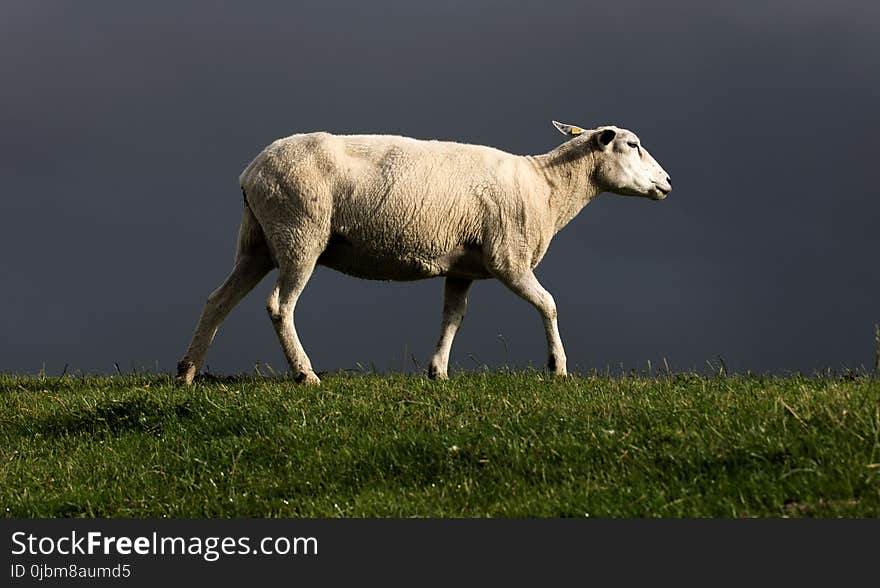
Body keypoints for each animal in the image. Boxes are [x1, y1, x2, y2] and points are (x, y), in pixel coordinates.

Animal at [175, 121, 672, 384]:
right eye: (632, 144)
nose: (668, 182)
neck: (546, 186)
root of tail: (251, 171)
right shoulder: (507, 258)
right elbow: (549, 304)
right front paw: (558, 367)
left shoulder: (464, 266)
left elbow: (453, 317)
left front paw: (438, 372)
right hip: (300, 231)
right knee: (280, 305)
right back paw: (305, 374)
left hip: (258, 241)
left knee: (217, 301)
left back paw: (187, 372)